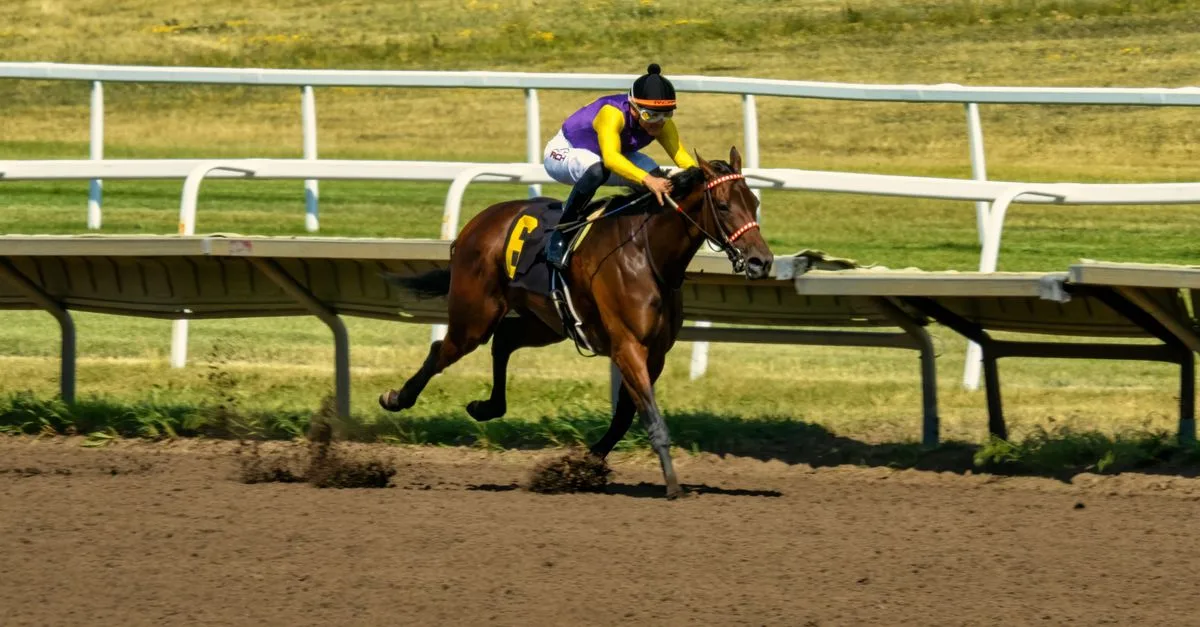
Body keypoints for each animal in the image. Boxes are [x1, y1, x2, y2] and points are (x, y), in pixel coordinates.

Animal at [380, 146, 774, 498]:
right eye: (723, 206)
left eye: (754, 204)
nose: (761, 261)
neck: (647, 254)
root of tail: (476, 224)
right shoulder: (628, 346)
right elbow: (649, 416)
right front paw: (673, 485)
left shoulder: (655, 352)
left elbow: (625, 417)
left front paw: (578, 466)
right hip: (476, 315)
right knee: (443, 349)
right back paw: (396, 397)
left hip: (546, 322)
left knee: (504, 340)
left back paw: (486, 406)